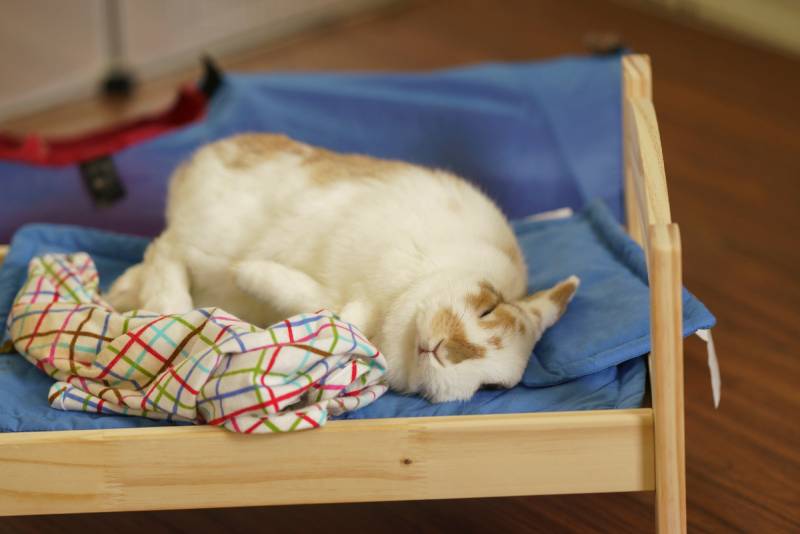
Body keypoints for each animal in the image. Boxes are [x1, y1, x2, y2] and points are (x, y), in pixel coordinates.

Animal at [107, 133, 579, 402]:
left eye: (491, 388)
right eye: (487, 307)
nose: (447, 351)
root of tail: (200, 158)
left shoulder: (347, 304)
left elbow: (325, 310)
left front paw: (255, 281)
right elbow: (295, 290)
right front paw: (250, 271)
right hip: (209, 229)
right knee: (166, 250)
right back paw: (167, 304)